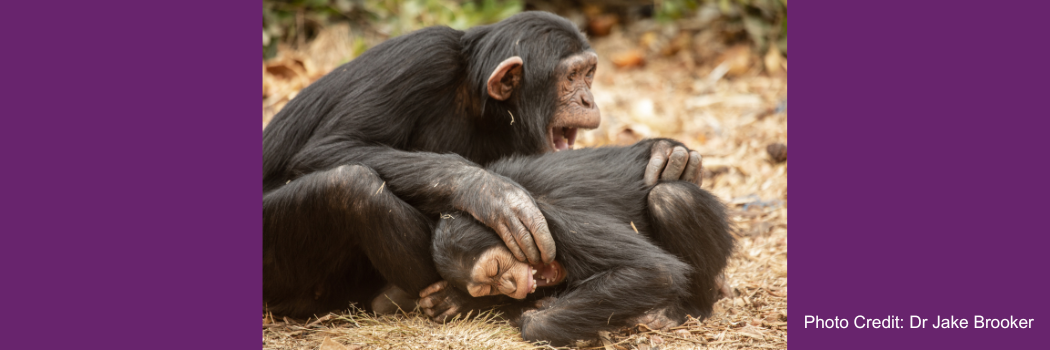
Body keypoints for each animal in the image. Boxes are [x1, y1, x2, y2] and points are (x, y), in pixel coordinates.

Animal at [262, 12, 705, 319]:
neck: (480, 101)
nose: (587, 100)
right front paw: (492, 194)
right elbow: (332, 145)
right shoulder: (421, 58)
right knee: (350, 185)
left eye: (590, 73)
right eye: (572, 77)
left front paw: (670, 155)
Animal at [424, 137, 730, 344]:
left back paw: (683, 310)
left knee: (672, 199)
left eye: (496, 269)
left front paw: (530, 317)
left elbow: (653, 271)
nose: (509, 287)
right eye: (489, 288)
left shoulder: (551, 220)